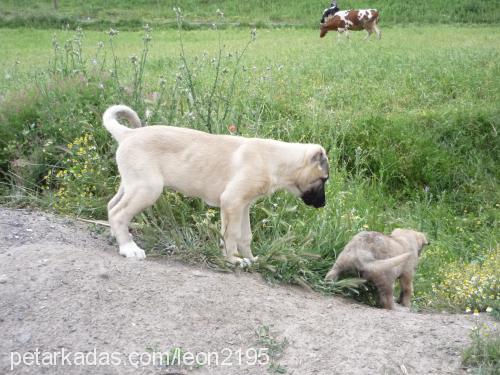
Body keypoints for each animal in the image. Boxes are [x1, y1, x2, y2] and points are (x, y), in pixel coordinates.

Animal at [102, 105, 330, 264]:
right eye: (324, 179)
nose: (323, 205)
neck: (275, 159)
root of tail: (128, 134)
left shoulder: (243, 205)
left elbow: (245, 235)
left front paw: (251, 259)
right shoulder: (232, 201)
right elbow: (232, 234)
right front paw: (232, 259)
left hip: (131, 184)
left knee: (112, 206)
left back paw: (117, 235)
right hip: (148, 188)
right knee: (119, 213)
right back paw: (129, 247)